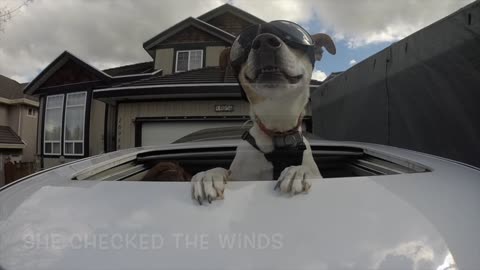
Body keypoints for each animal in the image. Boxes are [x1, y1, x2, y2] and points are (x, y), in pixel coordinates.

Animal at [189, 20, 336, 204]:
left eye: (292, 36)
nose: (264, 41)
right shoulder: (241, 176)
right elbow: (223, 171)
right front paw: (208, 175)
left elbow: (307, 169)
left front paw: (297, 171)